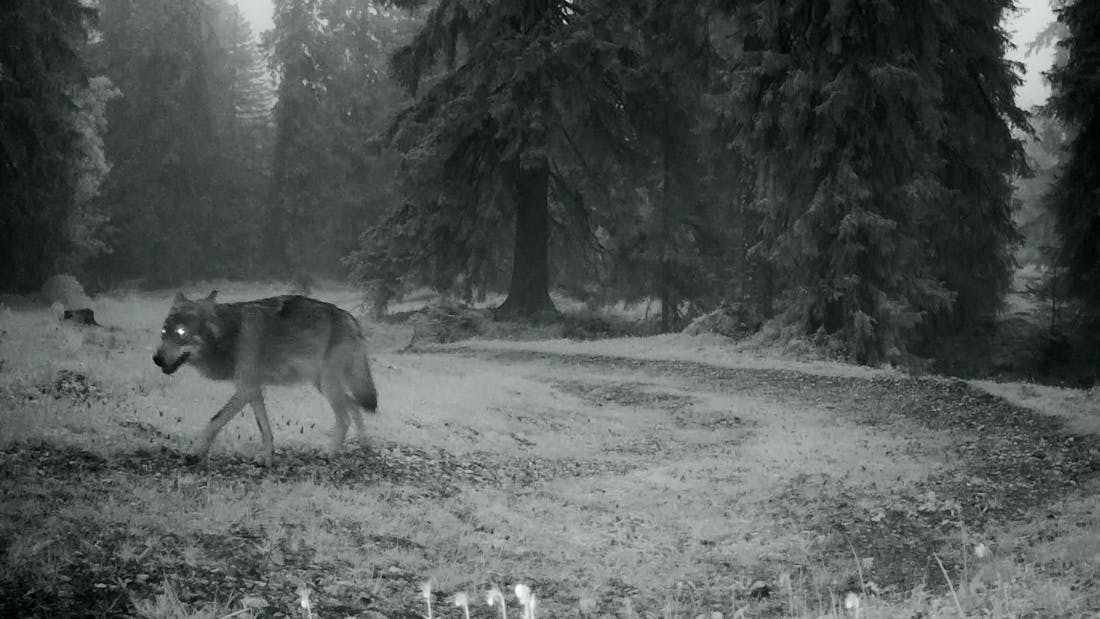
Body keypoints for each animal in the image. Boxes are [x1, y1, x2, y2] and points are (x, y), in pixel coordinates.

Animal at [153, 291, 378, 466]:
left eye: (181, 332)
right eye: (163, 332)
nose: (156, 359)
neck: (230, 336)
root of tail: (352, 319)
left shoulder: (245, 389)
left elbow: (215, 420)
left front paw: (194, 454)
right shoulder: (253, 389)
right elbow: (265, 429)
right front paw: (266, 460)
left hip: (328, 385)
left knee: (345, 418)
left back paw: (330, 453)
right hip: (322, 385)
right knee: (354, 404)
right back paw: (365, 444)